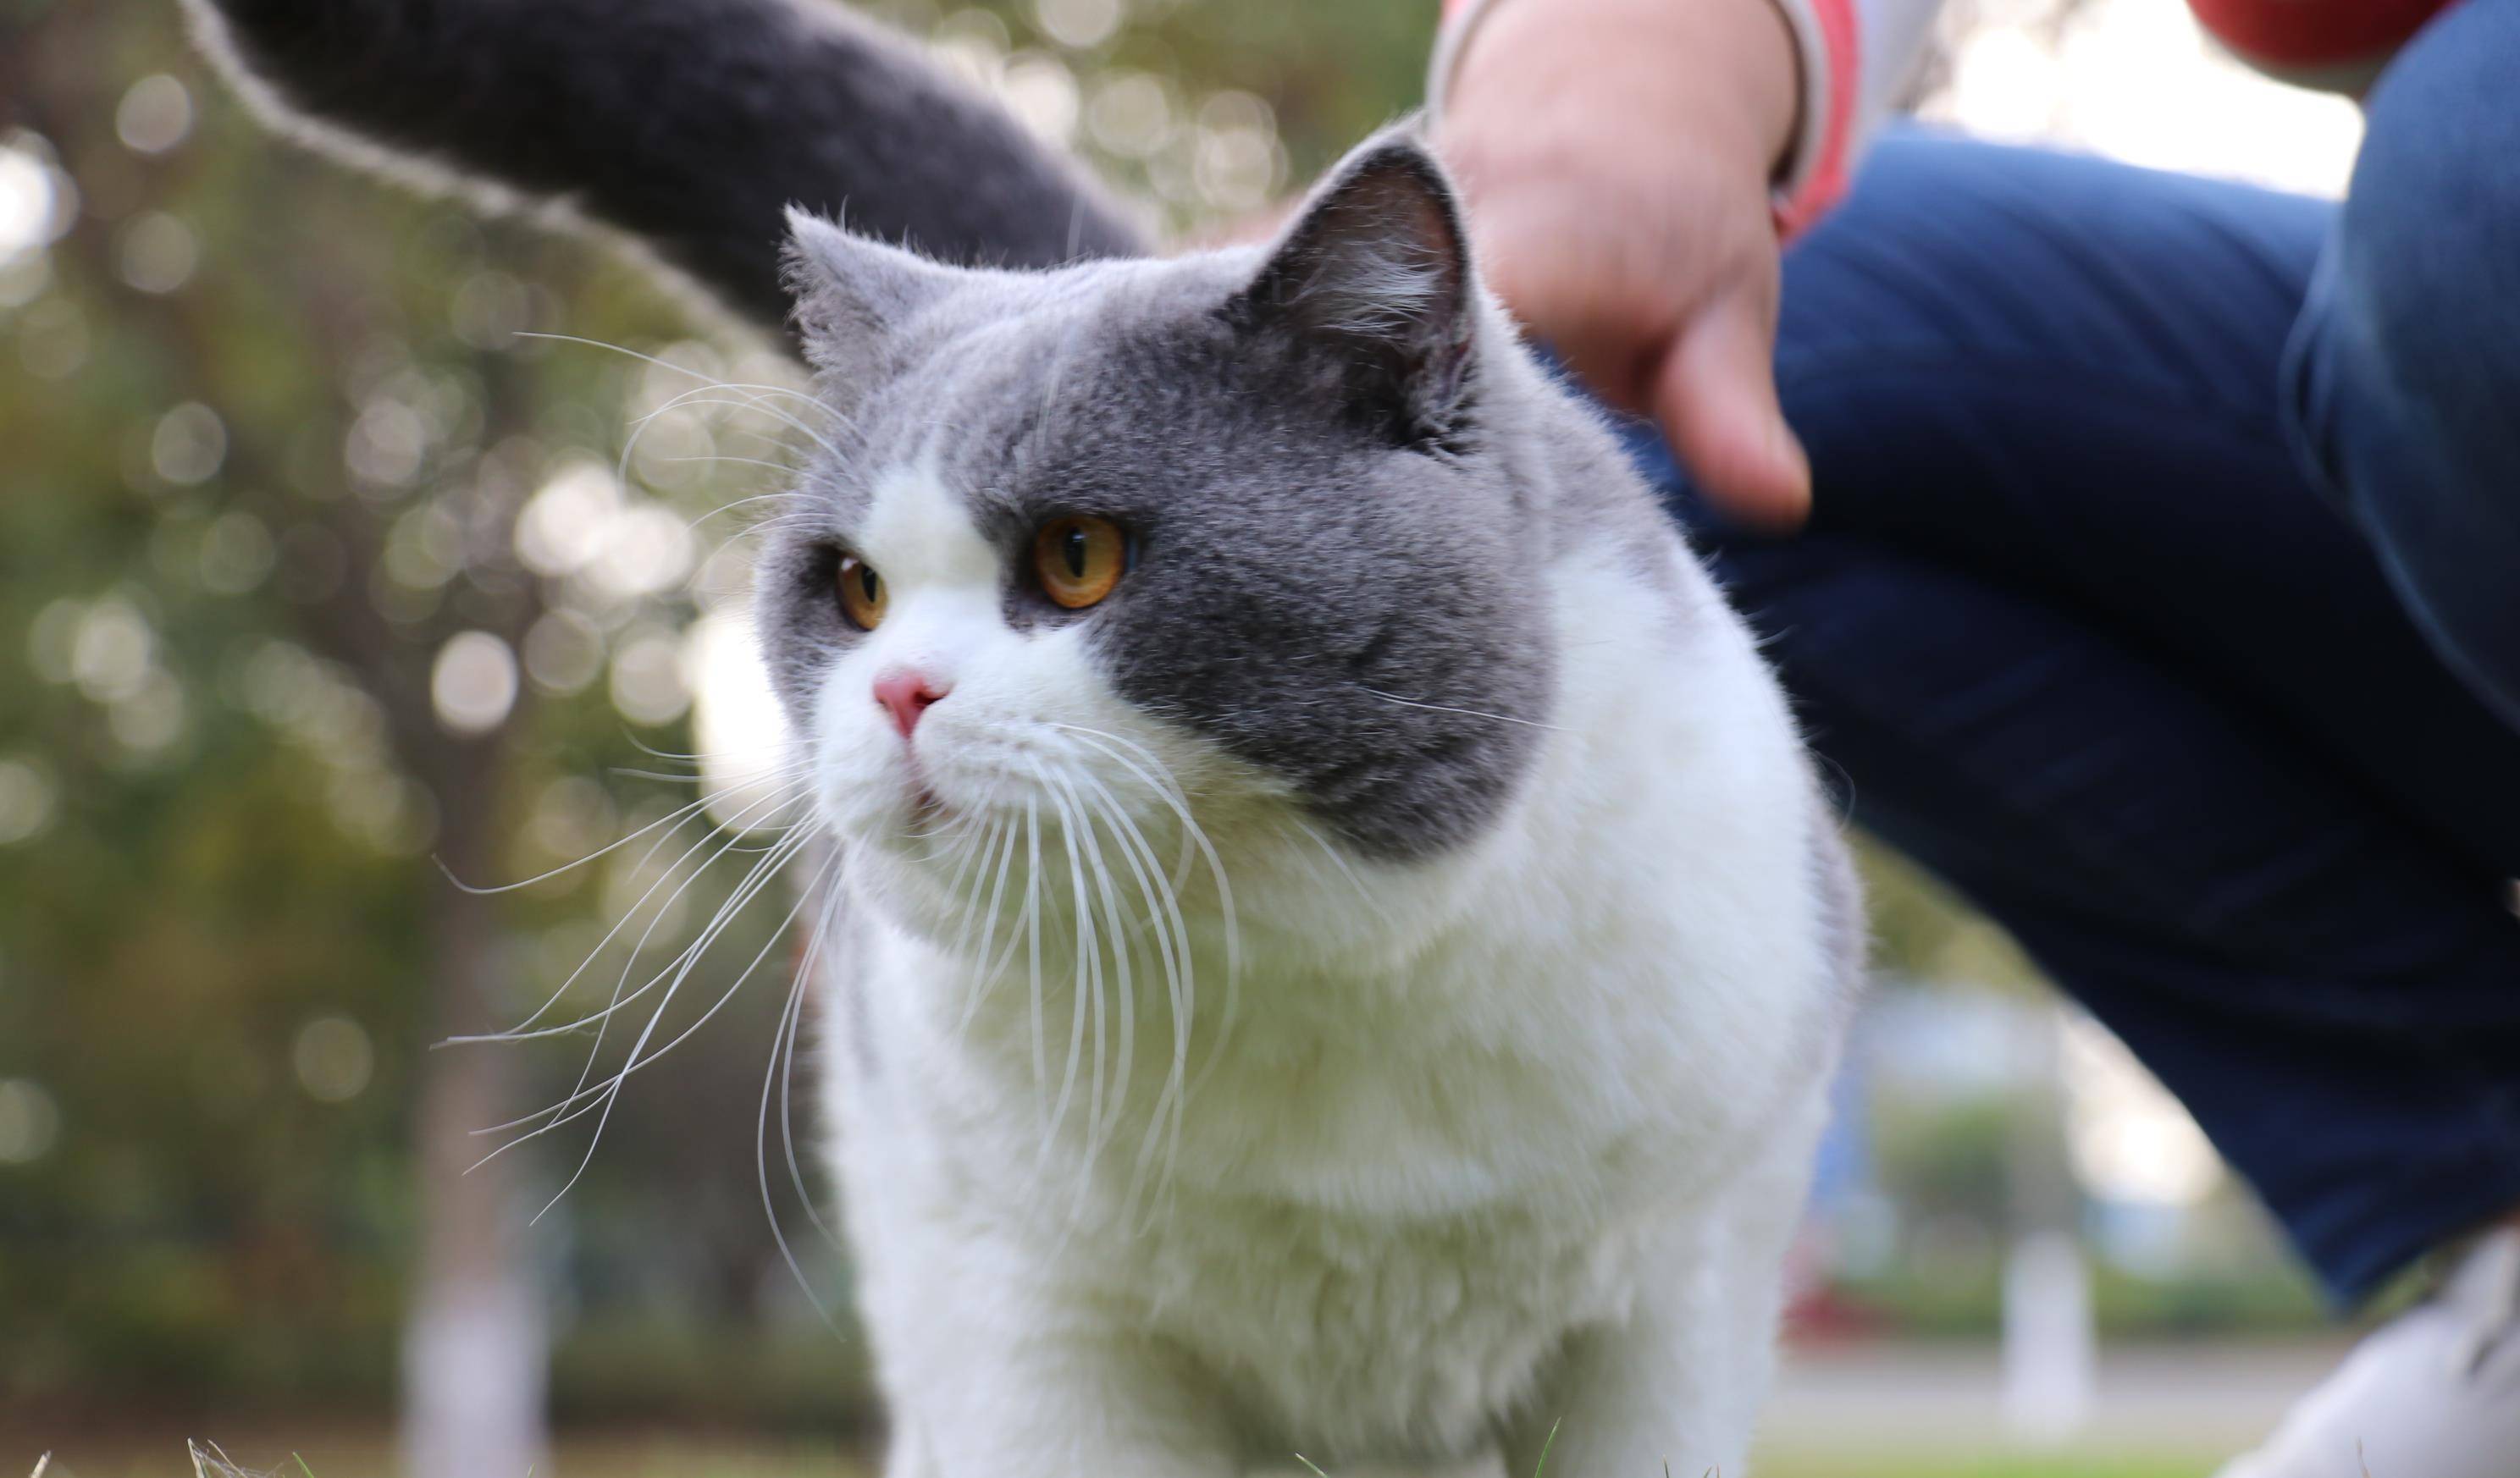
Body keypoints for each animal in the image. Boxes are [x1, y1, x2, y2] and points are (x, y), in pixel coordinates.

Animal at [191, 5, 1854, 1470]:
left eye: (1077, 559)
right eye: (854, 590)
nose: (899, 693)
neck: (1293, 979)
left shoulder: (1682, 1301)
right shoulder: (1021, 1313)